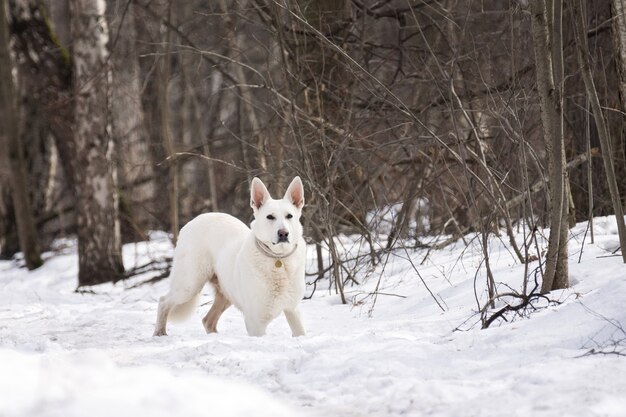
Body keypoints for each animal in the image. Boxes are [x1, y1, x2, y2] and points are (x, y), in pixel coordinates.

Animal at [154, 177, 304, 336]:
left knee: (208, 320)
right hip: (189, 286)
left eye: (289, 216)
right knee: (163, 301)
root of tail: (194, 220)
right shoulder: (256, 322)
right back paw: (159, 333)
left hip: (225, 293)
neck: (278, 259)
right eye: (270, 217)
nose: (283, 233)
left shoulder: (293, 311)